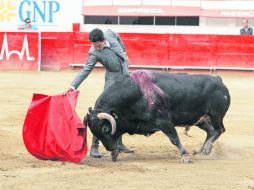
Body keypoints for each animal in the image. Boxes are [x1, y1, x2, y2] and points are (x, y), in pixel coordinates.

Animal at [85, 70, 230, 163]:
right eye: (94, 132)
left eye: (105, 129)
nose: (109, 148)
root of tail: (218, 79)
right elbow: (118, 134)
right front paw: (114, 153)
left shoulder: (163, 121)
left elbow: (174, 138)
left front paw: (185, 156)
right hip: (200, 119)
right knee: (210, 131)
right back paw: (202, 151)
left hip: (216, 115)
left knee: (219, 130)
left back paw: (206, 149)